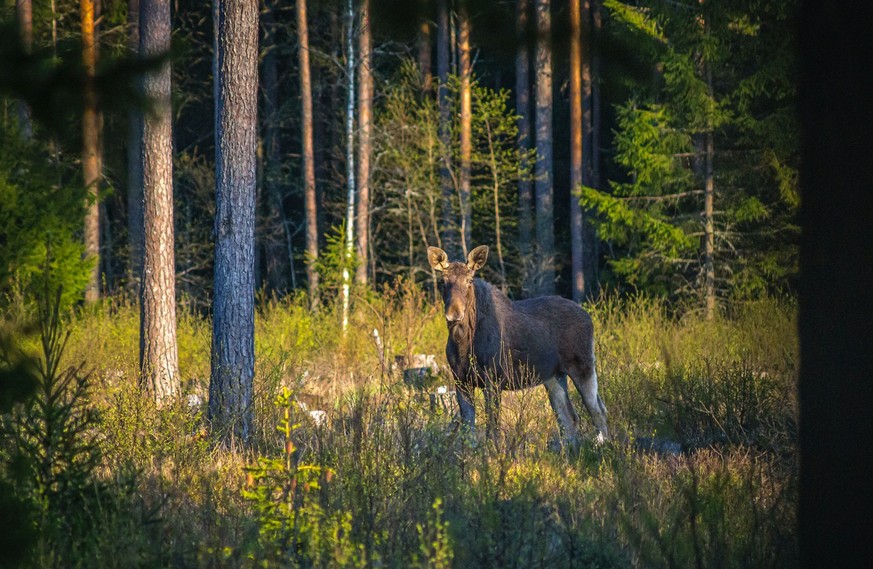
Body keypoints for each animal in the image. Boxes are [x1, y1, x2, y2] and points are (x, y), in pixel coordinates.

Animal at [428, 244, 608, 444]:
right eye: (443, 281)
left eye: (470, 280)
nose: (454, 313)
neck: (463, 342)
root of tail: (589, 317)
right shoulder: (461, 381)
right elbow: (469, 433)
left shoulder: (493, 380)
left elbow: (493, 429)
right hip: (553, 376)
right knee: (569, 418)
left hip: (583, 366)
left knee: (598, 411)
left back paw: (602, 445)